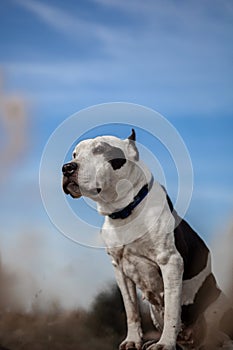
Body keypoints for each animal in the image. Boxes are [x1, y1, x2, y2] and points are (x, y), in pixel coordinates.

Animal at [62, 130, 233, 348]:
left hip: (217, 309)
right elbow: (131, 311)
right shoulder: (119, 270)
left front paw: (165, 343)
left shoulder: (170, 262)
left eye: (100, 149)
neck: (125, 211)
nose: (67, 167)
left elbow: (172, 311)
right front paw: (133, 340)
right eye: (75, 154)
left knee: (218, 336)